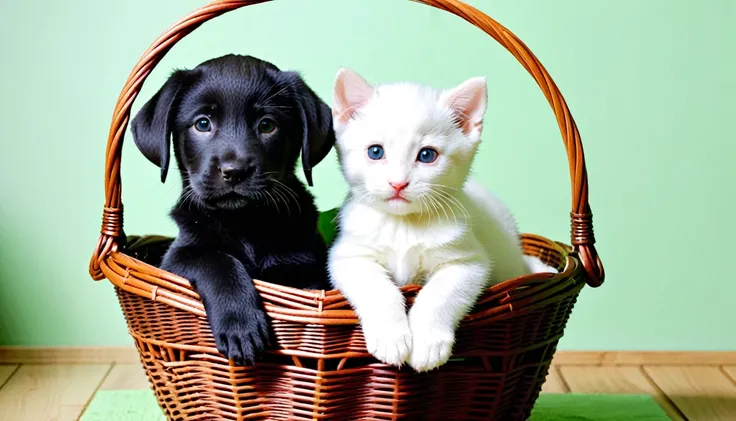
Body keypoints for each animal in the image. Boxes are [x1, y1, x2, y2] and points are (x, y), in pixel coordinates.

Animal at [133, 54, 336, 364]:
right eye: (202, 123)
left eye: (267, 125)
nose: (235, 171)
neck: (244, 223)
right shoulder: (176, 259)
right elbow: (217, 260)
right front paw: (241, 325)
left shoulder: (309, 268)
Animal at [328, 68, 556, 370]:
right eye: (375, 151)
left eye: (427, 155)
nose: (398, 183)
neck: (405, 225)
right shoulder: (349, 256)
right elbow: (377, 288)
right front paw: (391, 337)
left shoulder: (468, 262)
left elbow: (440, 295)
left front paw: (427, 343)